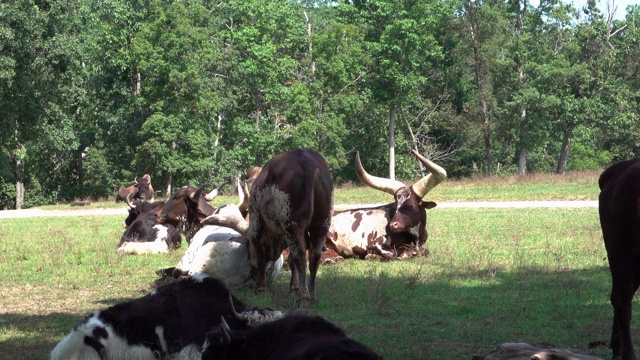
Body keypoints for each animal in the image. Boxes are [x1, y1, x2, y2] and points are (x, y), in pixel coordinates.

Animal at [204, 149, 336, 304]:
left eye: (249, 248)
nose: (252, 269)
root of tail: (309, 163)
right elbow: (290, 259)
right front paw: (293, 288)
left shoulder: (256, 221)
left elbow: (262, 256)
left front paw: (261, 287)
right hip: (322, 223)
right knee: (314, 255)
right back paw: (313, 295)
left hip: (293, 225)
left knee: (300, 255)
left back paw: (303, 297)